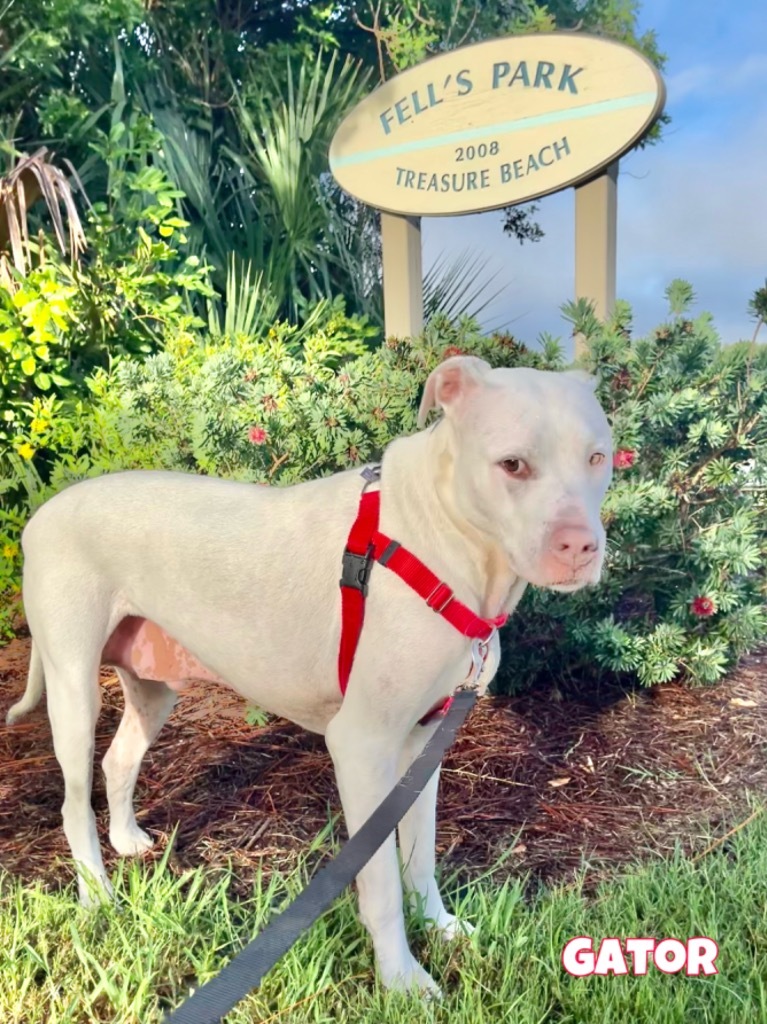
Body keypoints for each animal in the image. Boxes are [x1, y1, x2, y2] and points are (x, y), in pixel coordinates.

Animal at [5, 358, 610, 991]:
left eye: (599, 457)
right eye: (512, 464)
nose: (580, 548)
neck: (443, 541)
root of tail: (41, 514)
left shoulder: (422, 744)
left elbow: (419, 855)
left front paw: (438, 925)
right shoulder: (362, 748)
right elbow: (381, 883)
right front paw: (402, 981)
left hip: (154, 689)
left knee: (118, 760)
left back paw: (127, 841)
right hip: (73, 690)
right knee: (74, 802)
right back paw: (98, 897)